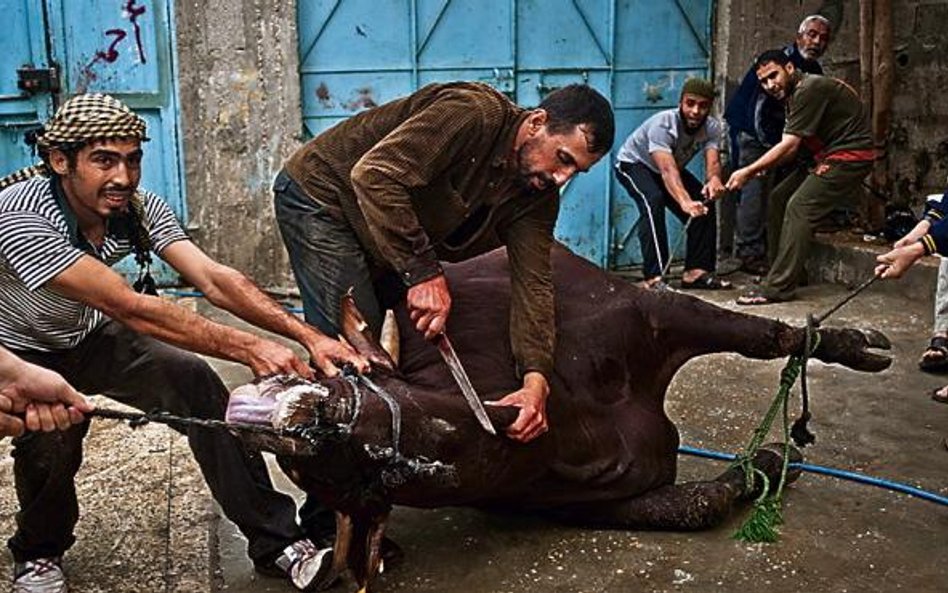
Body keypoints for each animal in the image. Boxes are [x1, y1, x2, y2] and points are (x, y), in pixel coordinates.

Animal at [226, 244, 892, 588]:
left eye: (355, 375)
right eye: (370, 475)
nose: (272, 415)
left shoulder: (651, 308)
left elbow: (767, 335)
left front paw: (854, 344)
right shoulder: (592, 498)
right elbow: (698, 505)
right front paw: (774, 459)